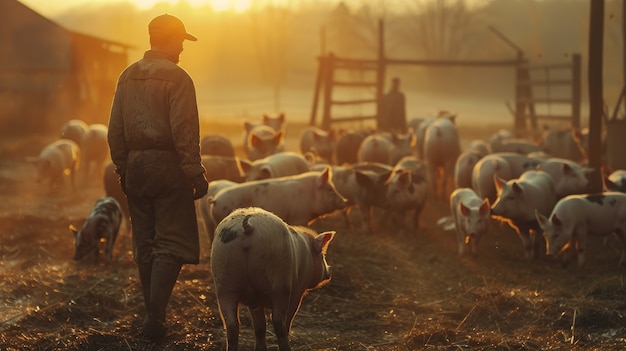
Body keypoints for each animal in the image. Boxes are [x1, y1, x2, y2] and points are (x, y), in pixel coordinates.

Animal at [211, 206, 336, 351]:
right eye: (322, 255)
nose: (329, 271)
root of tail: (247, 228)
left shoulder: (254, 301)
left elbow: (260, 325)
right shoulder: (297, 291)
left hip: (224, 283)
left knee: (232, 323)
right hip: (279, 284)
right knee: (278, 320)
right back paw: (286, 347)